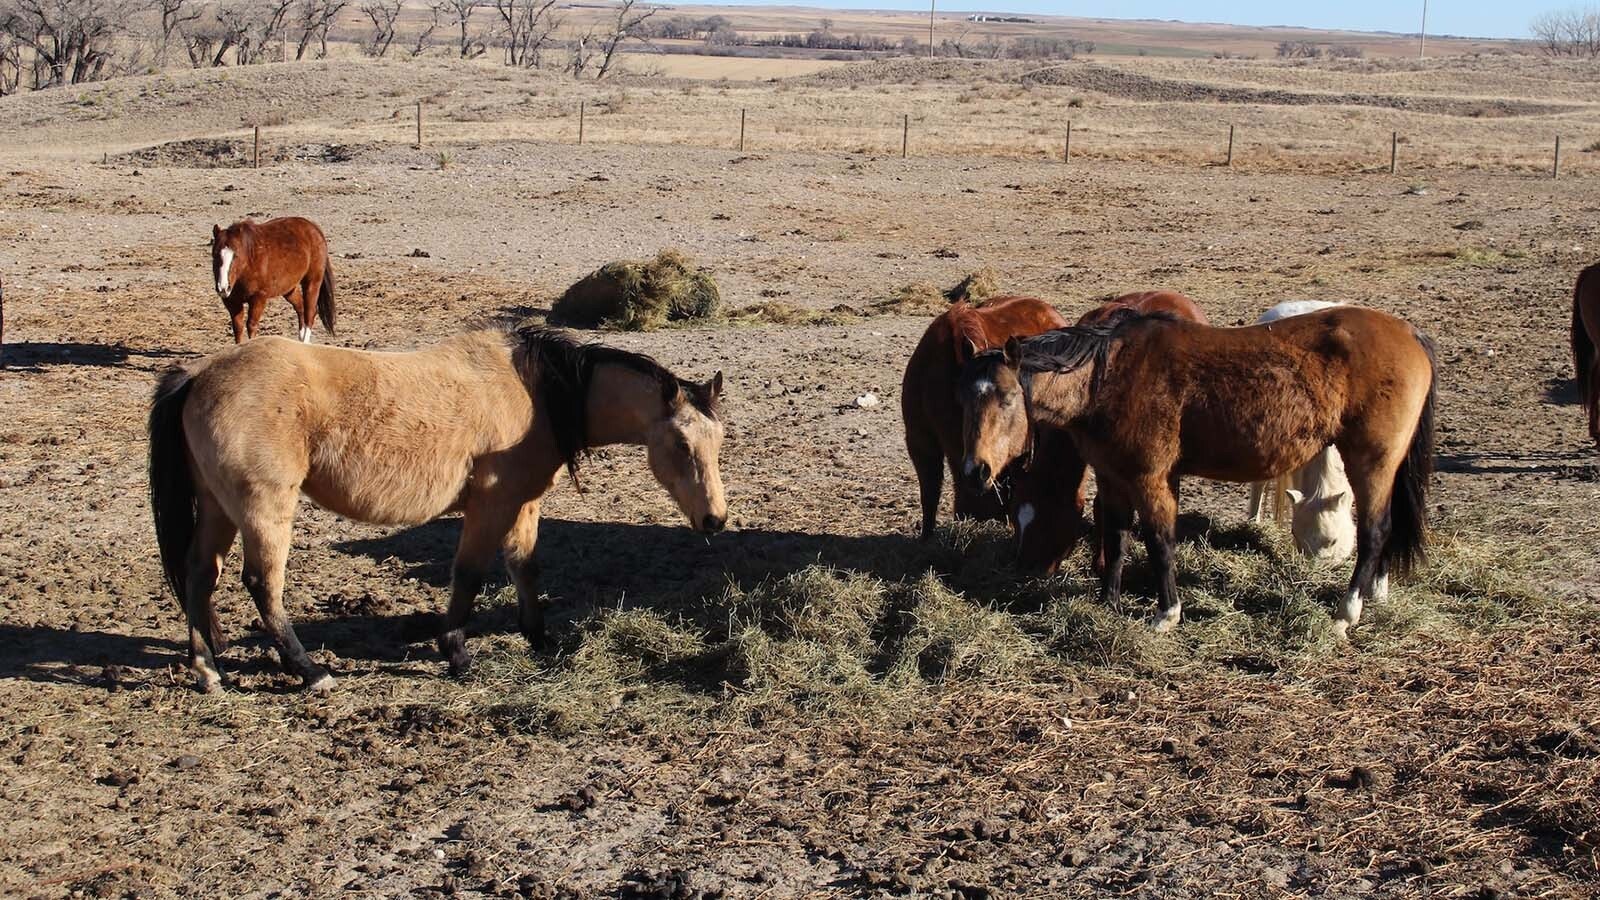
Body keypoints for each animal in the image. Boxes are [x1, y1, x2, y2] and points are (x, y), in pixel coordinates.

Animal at [148, 326, 727, 693]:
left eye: (717, 440)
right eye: (680, 444)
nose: (714, 520)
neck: (535, 393)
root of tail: (199, 374)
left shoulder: (523, 504)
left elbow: (525, 567)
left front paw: (540, 638)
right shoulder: (491, 505)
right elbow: (469, 574)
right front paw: (456, 654)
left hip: (218, 509)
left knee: (199, 575)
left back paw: (208, 670)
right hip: (264, 509)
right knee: (262, 585)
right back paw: (311, 672)